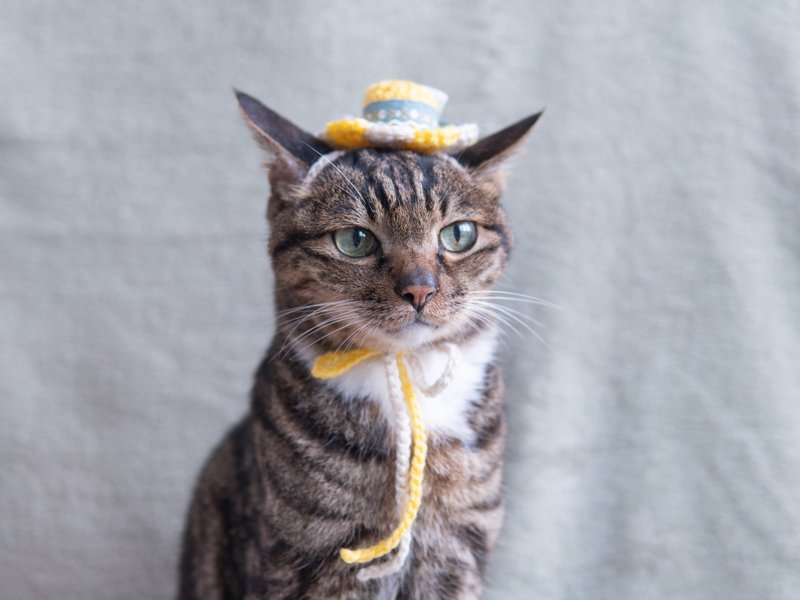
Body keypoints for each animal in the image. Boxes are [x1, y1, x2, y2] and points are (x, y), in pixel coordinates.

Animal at [180, 90, 544, 600]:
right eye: (355, 240)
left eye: (459, 234)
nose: (420, 290)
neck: (408, 376)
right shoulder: (307, 555)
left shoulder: (458, 550)